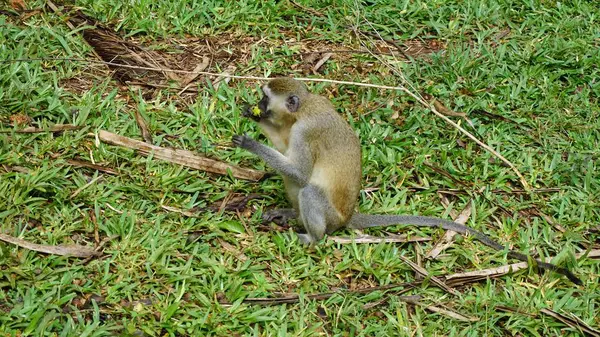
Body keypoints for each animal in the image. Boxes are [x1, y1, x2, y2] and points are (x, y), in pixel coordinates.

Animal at [234, 77, 580, 284]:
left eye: (266, 98)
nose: (258, 106)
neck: (304, 108)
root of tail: (348, 216)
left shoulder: (306, 132)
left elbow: (301, 172)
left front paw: (251, 141)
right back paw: (292, 214)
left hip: (330, 216)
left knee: (309, 190)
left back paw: (313, 237)